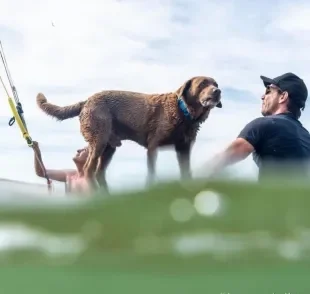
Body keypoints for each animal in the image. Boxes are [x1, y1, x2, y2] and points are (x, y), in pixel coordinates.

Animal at [36, 77, 222, 189]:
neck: (184, 112)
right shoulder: (153, 146)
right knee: (89, 169)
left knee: (99, 172)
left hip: (109, 147)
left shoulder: (183, 149)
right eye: (203, 84)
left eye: (216, 84)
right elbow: (151, 172)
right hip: (99, 140)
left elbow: (186, 172)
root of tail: (86, 101)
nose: (218, 91)